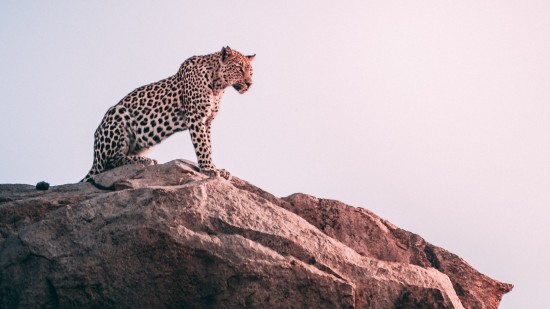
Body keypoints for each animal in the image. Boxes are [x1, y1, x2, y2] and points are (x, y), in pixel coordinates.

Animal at [80, 46, 256, 182]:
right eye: (239, 68)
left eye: (251, 72)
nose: (250, 84)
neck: (218, 86)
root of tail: (94, 158)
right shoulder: (196, 117)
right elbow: (202, 146)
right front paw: (209, 169)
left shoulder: (207, 121)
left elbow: (209, 145)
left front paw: (216, 168)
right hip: (117, 113)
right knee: (110, 163)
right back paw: (144, 160)